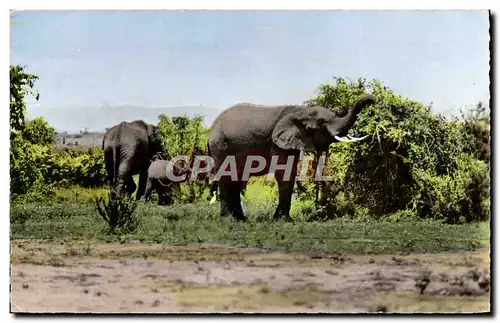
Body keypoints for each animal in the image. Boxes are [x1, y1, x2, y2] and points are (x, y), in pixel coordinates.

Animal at [207, 93, 376, 220]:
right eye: (321, 123)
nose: (374, 101)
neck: (301, 112)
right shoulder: (277, 142)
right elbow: (285, 173)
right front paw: (283, 219)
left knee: (236, 179)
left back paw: (240, 219)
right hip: (220, 145)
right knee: (227, 177)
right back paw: (228, 218)